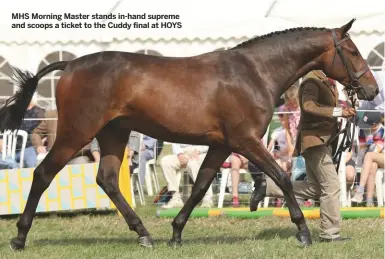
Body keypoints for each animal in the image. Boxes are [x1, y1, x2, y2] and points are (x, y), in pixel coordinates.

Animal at [0, 18, 376, 250]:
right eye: (352, 51)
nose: (371, 90)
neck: (254, 72)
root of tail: (70, 65)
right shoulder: (246, 141)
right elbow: (282, 178)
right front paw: (304, 232)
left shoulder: (221, 145)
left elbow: (199, 188)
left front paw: (176, 233)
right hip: (77, 132)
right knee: (43, 173)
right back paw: (19, 238)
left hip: (113, 135)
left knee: (106, 180)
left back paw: (145, 235)